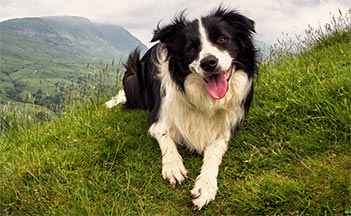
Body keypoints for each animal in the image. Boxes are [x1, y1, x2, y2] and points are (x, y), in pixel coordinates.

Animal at [106, 6, 258, 209]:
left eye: (222, 39)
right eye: (191, 47)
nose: (208, 62)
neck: (204, 99)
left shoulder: (227, 128)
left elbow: (214, 153)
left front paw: (205, 186)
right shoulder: (157, 119)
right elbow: (166, 139)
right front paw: (173, 166)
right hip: (132, 75)